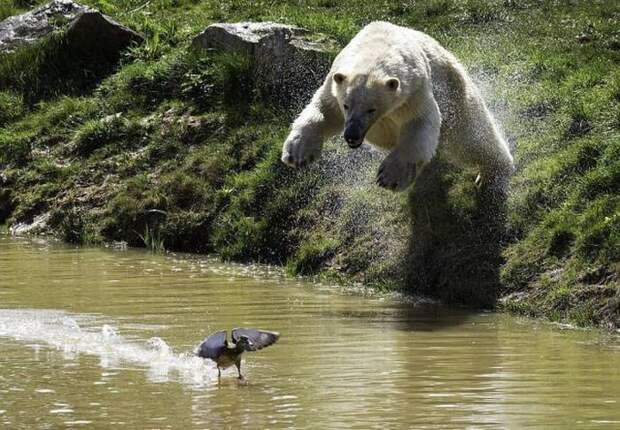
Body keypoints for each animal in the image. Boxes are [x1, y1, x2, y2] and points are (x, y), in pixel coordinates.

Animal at [280, 21, 512, 190]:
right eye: (346, 105)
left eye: (371, 109)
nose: (351, 135)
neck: (374, 50)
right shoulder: (335, 82)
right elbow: (325, 110)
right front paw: (297, 153)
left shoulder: (413, 91)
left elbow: (420, 123)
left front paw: (390, 176)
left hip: (452, 85)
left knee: (470, 134)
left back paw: (494, 171)